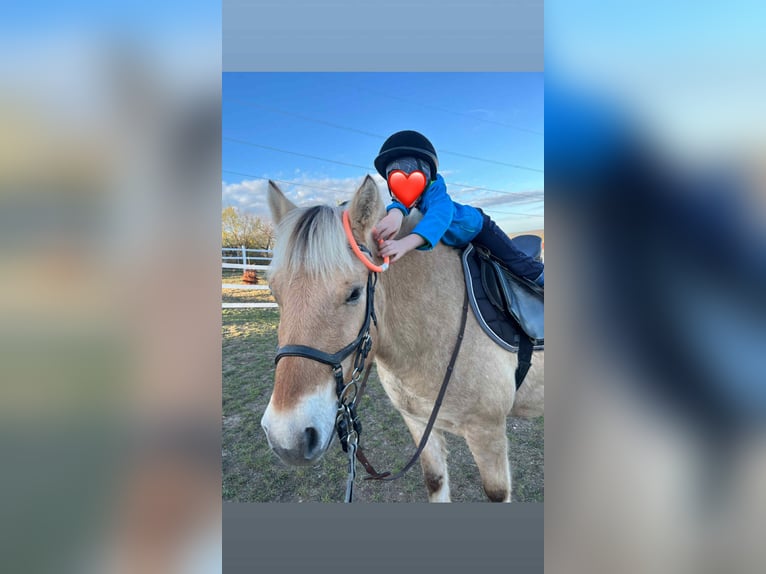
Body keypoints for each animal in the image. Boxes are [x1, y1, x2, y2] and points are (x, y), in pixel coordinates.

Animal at [260, 175, 544, 502]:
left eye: (354, 293)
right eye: (274, 292)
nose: (288, 439)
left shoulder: (488, 432)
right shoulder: (418, 422)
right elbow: (435, 481)